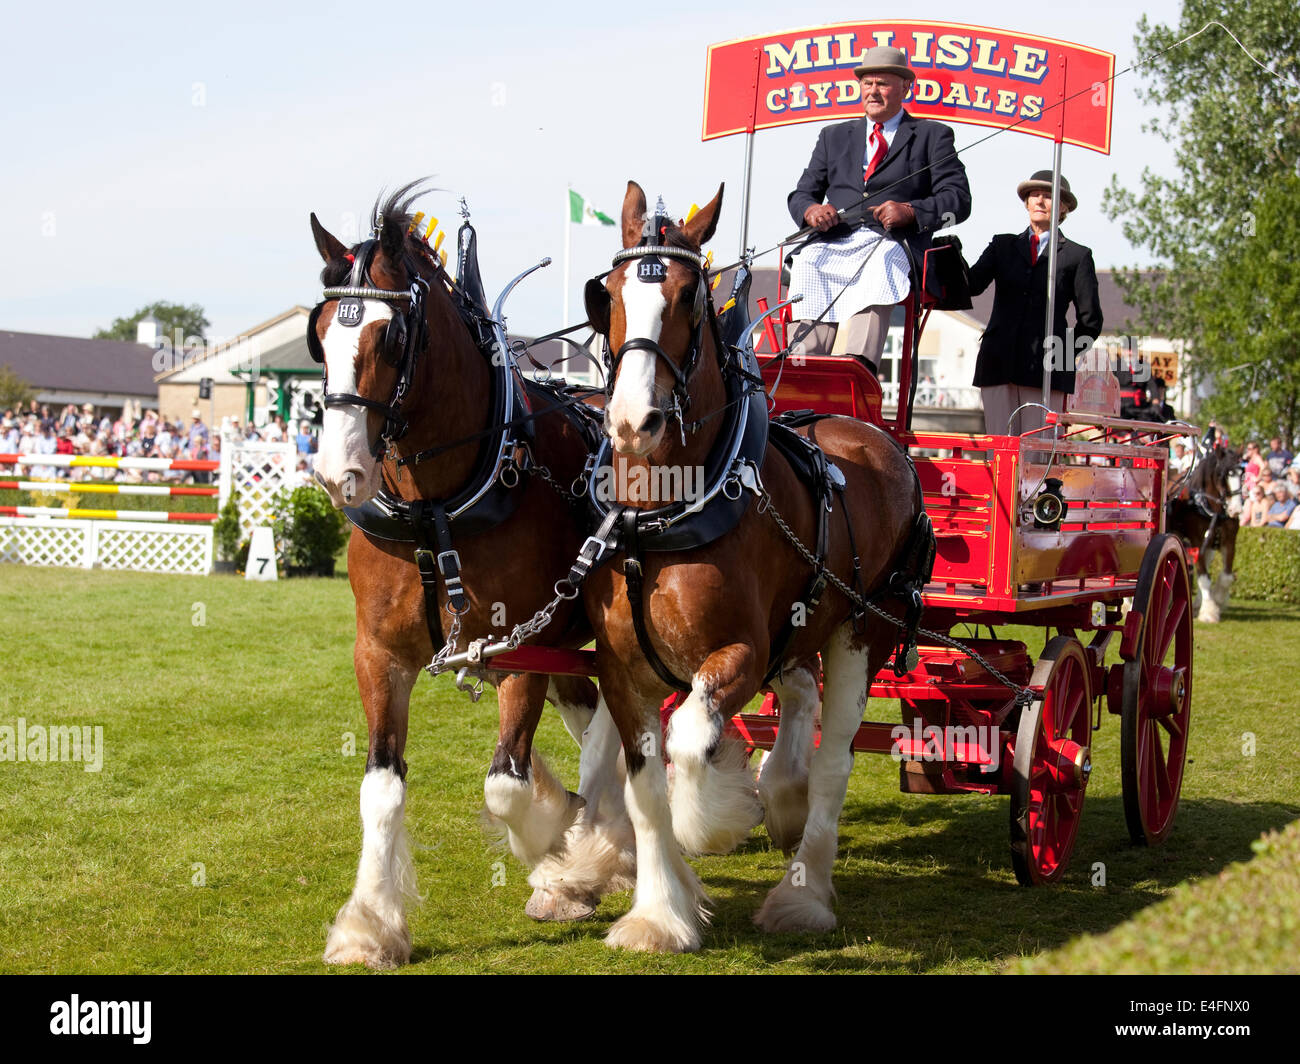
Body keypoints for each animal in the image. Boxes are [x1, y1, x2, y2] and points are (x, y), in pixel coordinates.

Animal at [305, 186, 629, 967]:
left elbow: (506, 786)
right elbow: (381, 786)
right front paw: (370, 925)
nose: (337, 471)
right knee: (598, 718)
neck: (439, 511)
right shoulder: (379, 654)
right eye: (318, 334)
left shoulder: (521, 648)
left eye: (392, 339)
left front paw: (558, 848)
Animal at [585, 178, 930, 946]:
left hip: (864, 628)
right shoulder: (620, 672)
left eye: (689, 295)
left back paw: (805, 892)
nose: (632, 421)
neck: (663, 519)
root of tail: (874, 434)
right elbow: (643, 790)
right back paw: (784, 792)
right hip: (803, 622)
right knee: (800, 695)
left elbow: (689, 741)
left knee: (834, 758)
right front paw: (660, 913)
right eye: (607, 292)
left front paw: (711, 819)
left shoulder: (739, 654)